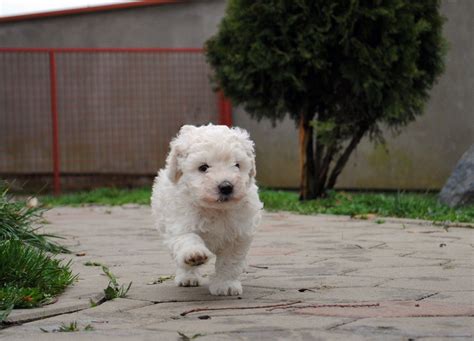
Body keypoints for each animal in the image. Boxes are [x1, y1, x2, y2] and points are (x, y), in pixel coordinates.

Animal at [152, 123, 262, 294]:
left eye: (237, 165)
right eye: (203, 167)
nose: (226, 186)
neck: (215, 209)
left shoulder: (238, 236)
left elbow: (230, 263)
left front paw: (226, 285)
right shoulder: (180, 223)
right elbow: (188, 238)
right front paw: (194, 254)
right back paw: (187, 277)